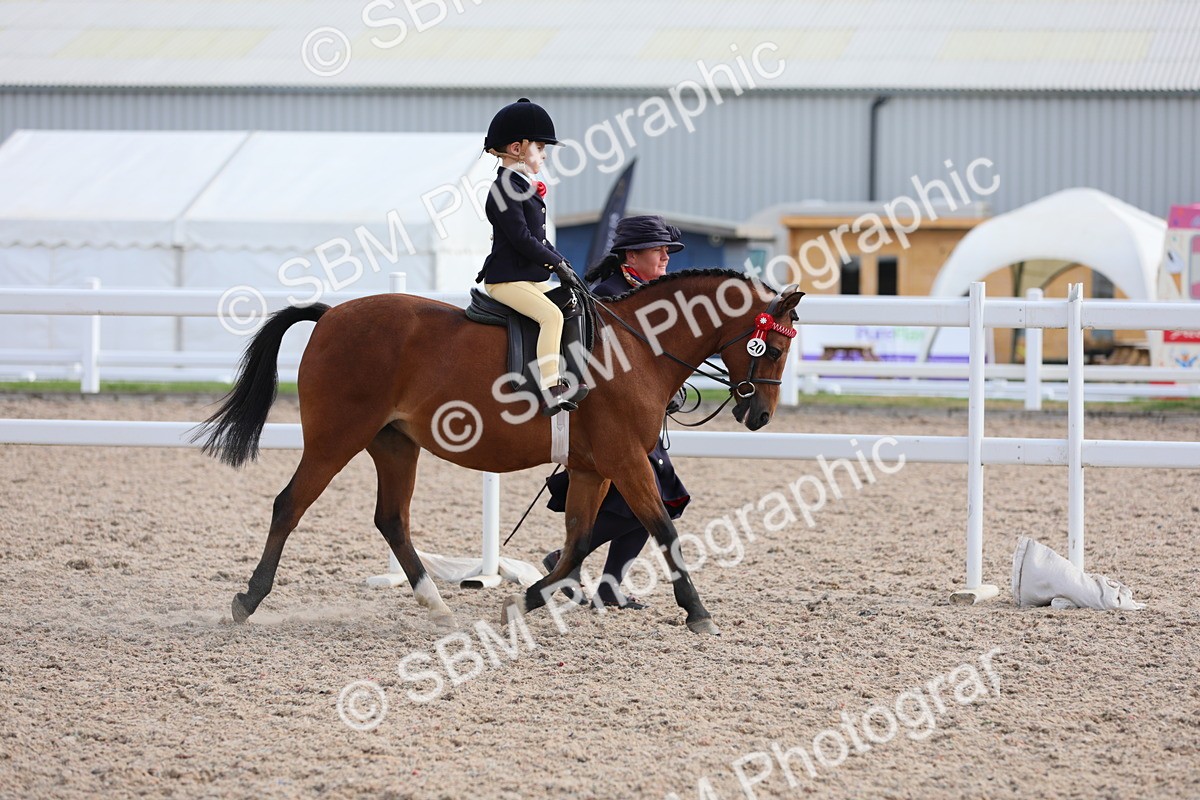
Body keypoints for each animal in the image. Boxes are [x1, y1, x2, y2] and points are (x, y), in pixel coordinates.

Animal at [194, 268, 804, 635]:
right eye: (772, 348)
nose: (760, 416)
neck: (636, 346)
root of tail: (331, 315)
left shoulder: (592, 468)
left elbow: (579, 538)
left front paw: (527, 598)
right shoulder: (627, 461)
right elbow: (663, 529)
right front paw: (698, 614)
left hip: (394, 445)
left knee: (391, 519)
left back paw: (435, 604)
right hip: (335, 438)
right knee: (289, 505)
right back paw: (248, 600)